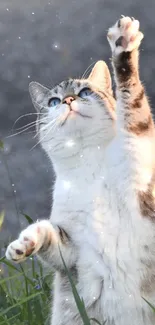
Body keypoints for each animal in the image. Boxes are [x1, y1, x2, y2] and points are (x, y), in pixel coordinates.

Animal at [5, 58, 115, 324]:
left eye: (84, 92)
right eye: (53, 101)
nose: (68, 100)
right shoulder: (73, 252)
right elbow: (47, 232)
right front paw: (22, 245)